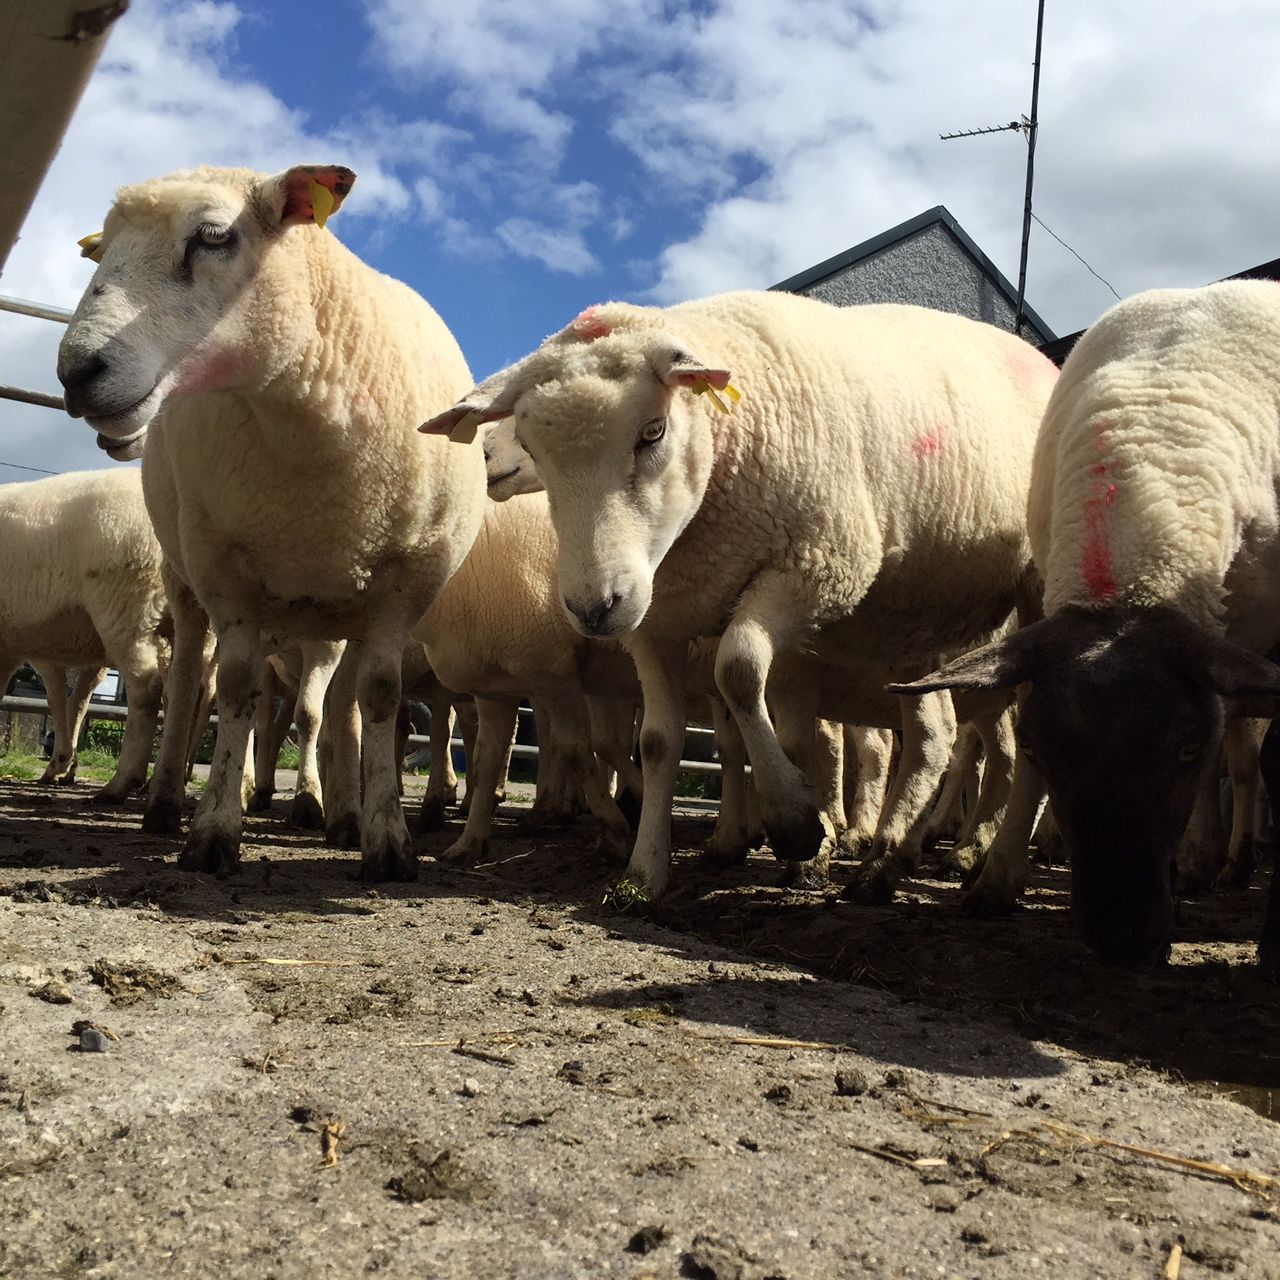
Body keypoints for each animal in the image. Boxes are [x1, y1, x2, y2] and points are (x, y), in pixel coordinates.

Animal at [0, 469, 168, 800]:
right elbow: (72, 701)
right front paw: (64, 767)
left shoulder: (42, 651)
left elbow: (61, 700)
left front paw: (61, 764)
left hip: (125, 605)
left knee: (146, 687)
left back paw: (122, 783)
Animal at [57, 164, 486, 880]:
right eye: (103, 252)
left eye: (212, 236)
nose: (76, 372)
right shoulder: (224, 569)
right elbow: (234, 692)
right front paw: (213, 831)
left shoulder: (406, 580)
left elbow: (376, 698)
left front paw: (385, 838)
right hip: (187, 578)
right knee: (188, 684)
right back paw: (167, 799)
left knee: (330, 708)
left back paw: (335, 810)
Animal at [423, 290, 1056, 897]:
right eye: (537, 450)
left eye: (652, 432)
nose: (593, 609)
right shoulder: (657, 621)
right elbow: (658, 742)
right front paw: (644, 870)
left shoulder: (818, 566)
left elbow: (741, 671)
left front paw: (795, 822)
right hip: (911, 625)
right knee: (932, 736)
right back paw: (887, 860)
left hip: (1036, 587)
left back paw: (985, 865)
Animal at [895, 281, 1280, 976]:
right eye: (1041, 749)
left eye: (1185, 749)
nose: (1122, 943)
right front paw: (996, 879)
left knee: (1242, 764)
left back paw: (1219, 862)